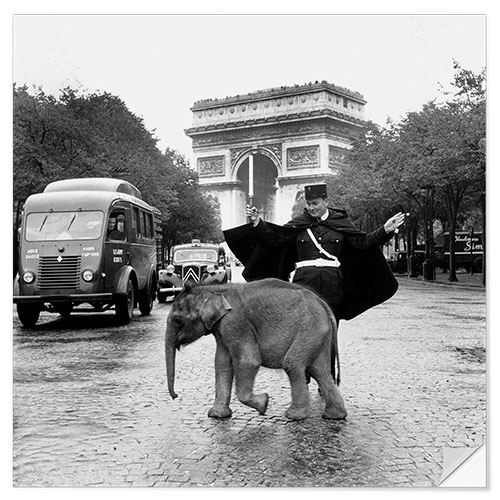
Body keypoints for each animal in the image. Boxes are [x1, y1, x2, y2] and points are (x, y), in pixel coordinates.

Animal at [164, 280, 348, 420]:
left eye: (177, 320)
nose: (176, 396)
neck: (215, 288)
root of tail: (323, 304)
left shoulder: (236, 323)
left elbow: (248, 361)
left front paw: (263, 404)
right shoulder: (222, 329)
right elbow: (222, 364)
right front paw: (217, 415)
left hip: (309, 329)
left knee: (293, 365)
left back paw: (294, 416)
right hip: (318, 334)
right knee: (319, 370)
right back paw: (334, 416)